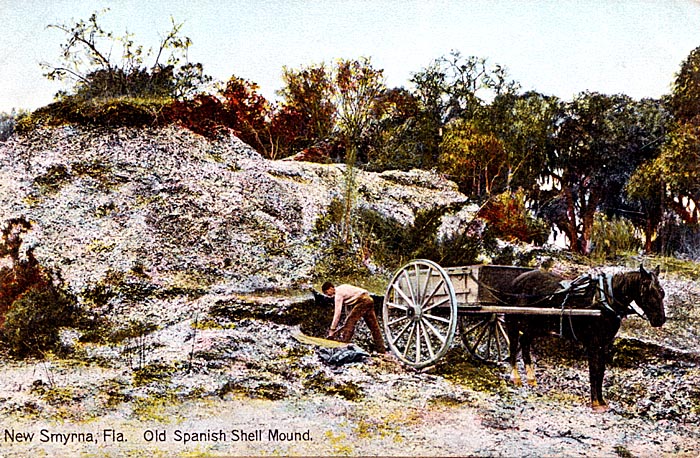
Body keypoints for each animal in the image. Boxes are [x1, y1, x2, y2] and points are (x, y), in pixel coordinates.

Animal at [506, 264, 664, 412]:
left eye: (662, 293)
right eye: (648, 291)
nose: (660, 320)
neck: (604, 301)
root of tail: (517, 280)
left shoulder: (603, 344)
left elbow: (600, 371)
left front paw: (601, 401)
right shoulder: (593, 343)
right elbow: (594, 371)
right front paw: (595, 402)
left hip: (534, 326)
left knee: (524, 343)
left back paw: (531, 378)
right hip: (513, 321)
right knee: (513, 346)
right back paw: (516, 377)